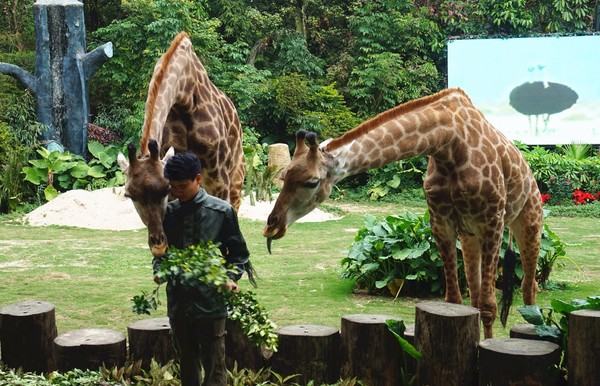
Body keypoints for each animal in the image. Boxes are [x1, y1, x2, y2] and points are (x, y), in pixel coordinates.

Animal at [117, 32, 244, 256]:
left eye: (164, 190)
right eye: (129, 194)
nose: (158, 246)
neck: (183, 94)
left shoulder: (219, 179)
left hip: (235, 180)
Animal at [262, 87, 544, 338]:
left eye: (311, 182)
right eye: (283, 176)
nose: (271, 226)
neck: (448, 142)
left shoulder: (492, 221)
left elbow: (488, 307)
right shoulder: (441, 222)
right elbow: (455, 301)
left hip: (528, 221)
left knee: (529, 288)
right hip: (469, 235)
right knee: (476, 294)